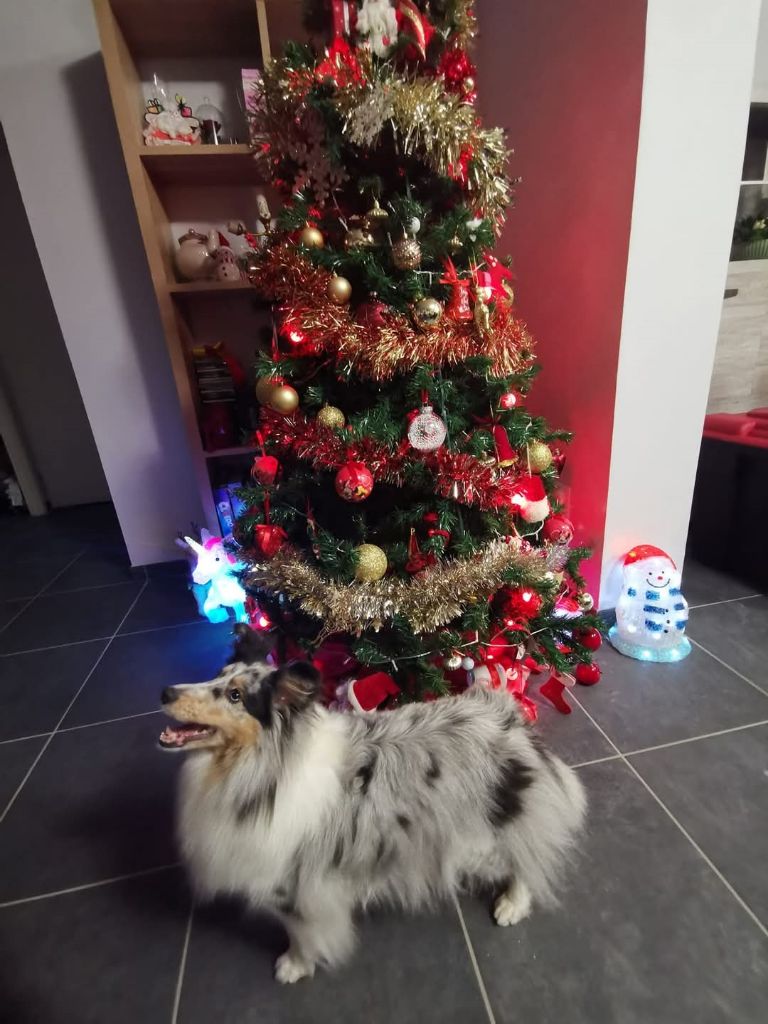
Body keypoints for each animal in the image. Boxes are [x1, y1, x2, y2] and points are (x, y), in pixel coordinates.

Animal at [159, 624, 586, 983]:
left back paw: (512, 905)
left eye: (235, 696)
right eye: (217, 674)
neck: (261, 765)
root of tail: (508, 714)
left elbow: (301, 933)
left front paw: (293, 966)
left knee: (525, 856)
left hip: (500, 820)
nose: (165, 693)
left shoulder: (294, 885)